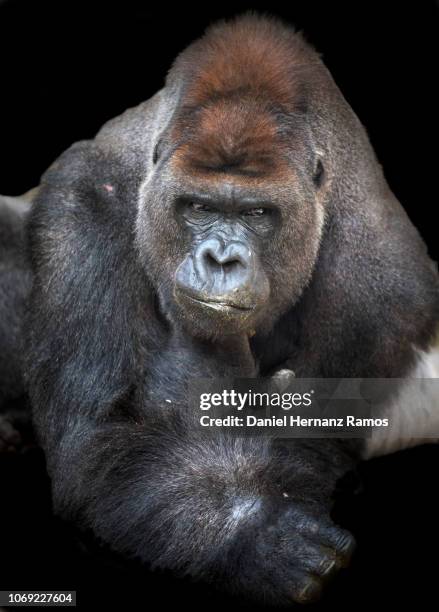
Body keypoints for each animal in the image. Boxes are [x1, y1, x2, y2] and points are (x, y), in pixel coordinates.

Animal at [0, 14, 439, 608]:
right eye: (199, 206)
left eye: (257, 213)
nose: (222, 258)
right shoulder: (86, 205)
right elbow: (101, 440)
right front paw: (251, 535)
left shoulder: (378, 274)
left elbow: (315, 428)